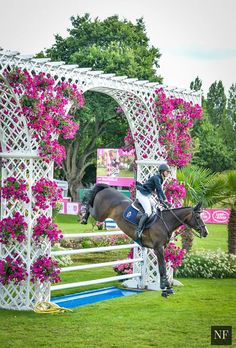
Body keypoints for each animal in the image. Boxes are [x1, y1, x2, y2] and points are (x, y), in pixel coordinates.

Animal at [79, 184, 208, 292]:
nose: (205, 232)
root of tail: (107, 188)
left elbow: (163, 265)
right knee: (90, 206)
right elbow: (162, 266)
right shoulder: (158, 248)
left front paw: (166, 285)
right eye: (198, 217)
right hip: (99, 214)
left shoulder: (162, 247)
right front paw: (164, 286)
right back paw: (83, 216)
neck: (165, 222)